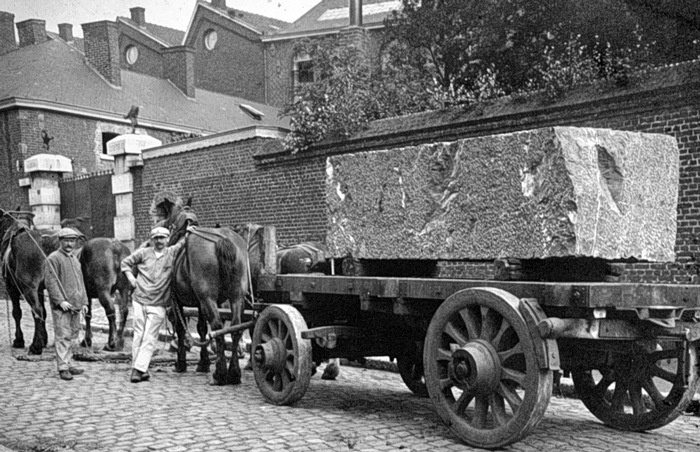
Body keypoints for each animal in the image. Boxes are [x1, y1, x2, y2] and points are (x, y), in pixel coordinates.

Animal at [168, 207, 250, 384]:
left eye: (171, 224)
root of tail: (223, 240)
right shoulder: (200, 304)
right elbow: (202, 328)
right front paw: (203, 362)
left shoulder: (177, 301)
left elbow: (181, 329)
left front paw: (181, 363)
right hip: (237, 296)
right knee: (235, 327)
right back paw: (234, 372)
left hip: (208, 298)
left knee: (218, 326)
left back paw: (220, 373)